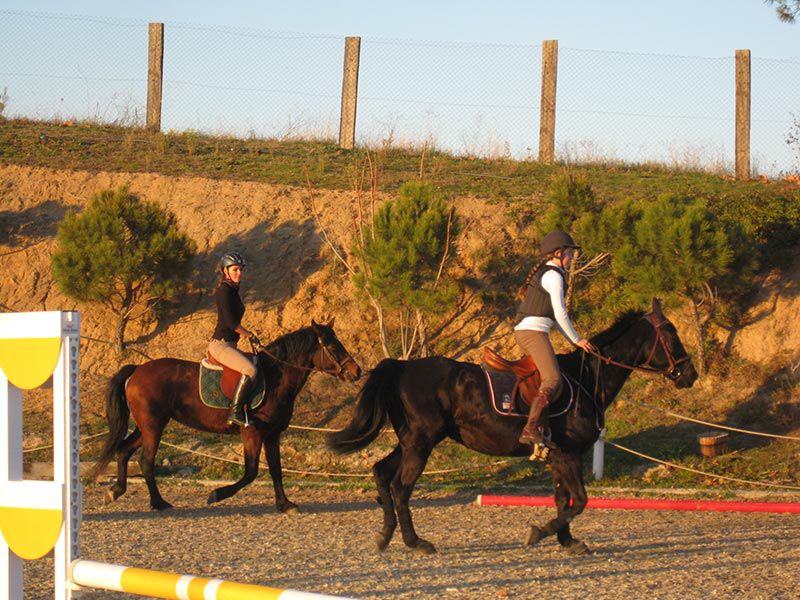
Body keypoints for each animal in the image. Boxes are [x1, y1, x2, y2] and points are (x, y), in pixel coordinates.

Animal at [91, 319, 361, 513]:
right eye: (333, 347)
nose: (356, 371)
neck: (276, 377)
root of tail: (137, 370)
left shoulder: (273, 434)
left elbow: (276, 469)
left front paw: (285, 504)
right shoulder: (251, 431)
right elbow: (251, 471)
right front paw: (216, 495)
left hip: (146, 425)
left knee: (124, 451)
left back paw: (115, 491)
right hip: (153, 426)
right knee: (146, 460)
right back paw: (159, 503)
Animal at [328, 299, 697, 555]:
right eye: (671, 334)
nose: (690, 375)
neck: (586, 379)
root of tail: (402, 367)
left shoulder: (557, 456)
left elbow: (563, 499)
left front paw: (567, 541)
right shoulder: (569, 454)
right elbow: (579, 500)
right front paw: (540, 533)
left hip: (408, 441)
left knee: (381, 473)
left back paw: (384, 536)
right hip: (421, 442)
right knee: (401, 488)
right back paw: (416, 542)